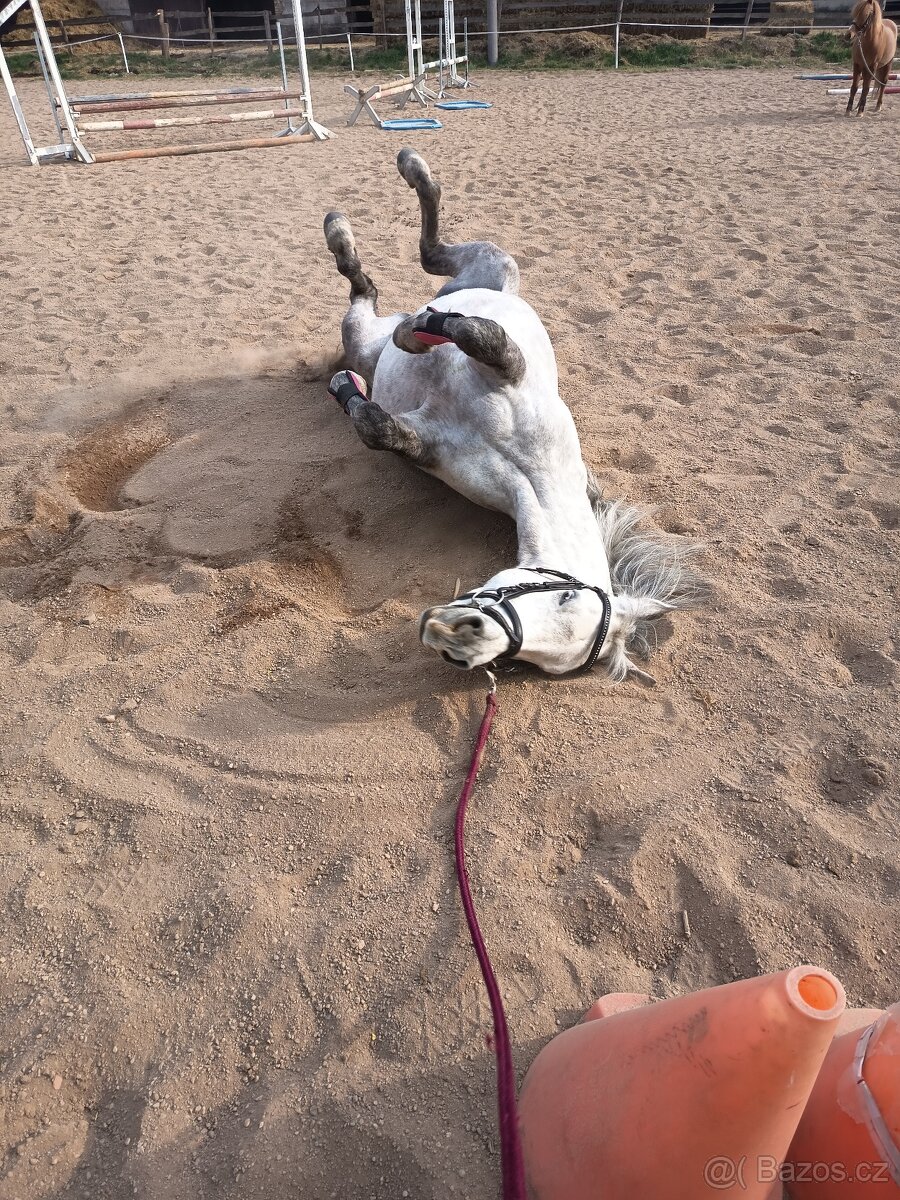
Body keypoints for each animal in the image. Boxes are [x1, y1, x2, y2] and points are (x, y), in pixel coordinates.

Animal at [323, 150, 704, 680]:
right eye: (564, 596)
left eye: (524, 664)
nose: (458, 639)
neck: (524, 469)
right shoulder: (507, 370)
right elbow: (478, 335)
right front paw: (419, 333)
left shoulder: (424, 442)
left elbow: (377, 427)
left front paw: (353, 384)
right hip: (489, 268)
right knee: (418, 261)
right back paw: (381, 200)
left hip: (363, 339)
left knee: (386, 282)